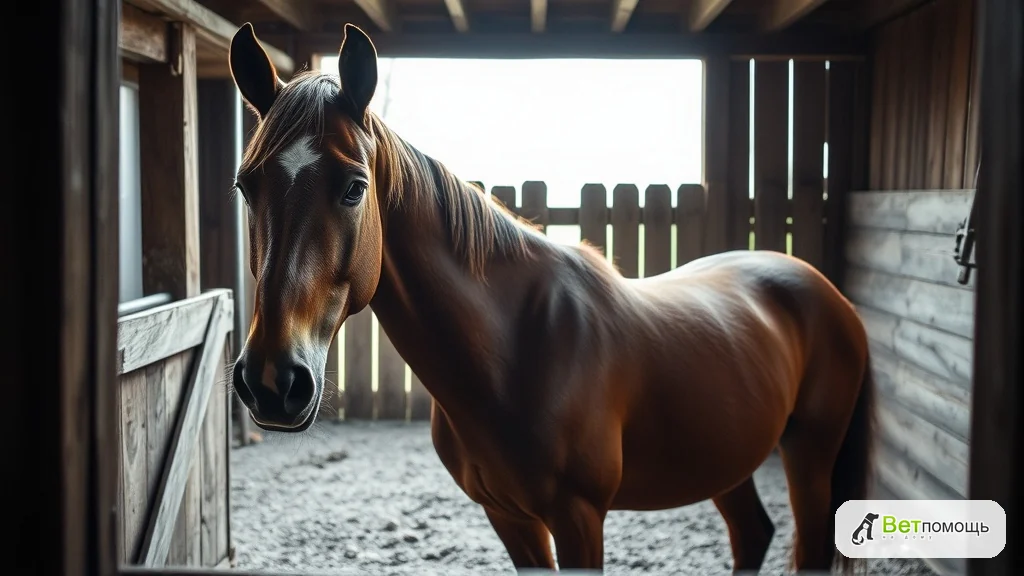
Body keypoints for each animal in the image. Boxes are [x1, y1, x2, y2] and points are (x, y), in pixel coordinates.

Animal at [227, 22, 876, 574]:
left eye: (354, 188)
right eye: (245, 186)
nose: (272, 381)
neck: (514, 348)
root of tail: (819, 287)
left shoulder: (580, 518)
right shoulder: (510, 519)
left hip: (810, 454)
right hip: (726, 458)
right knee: (753, 534)